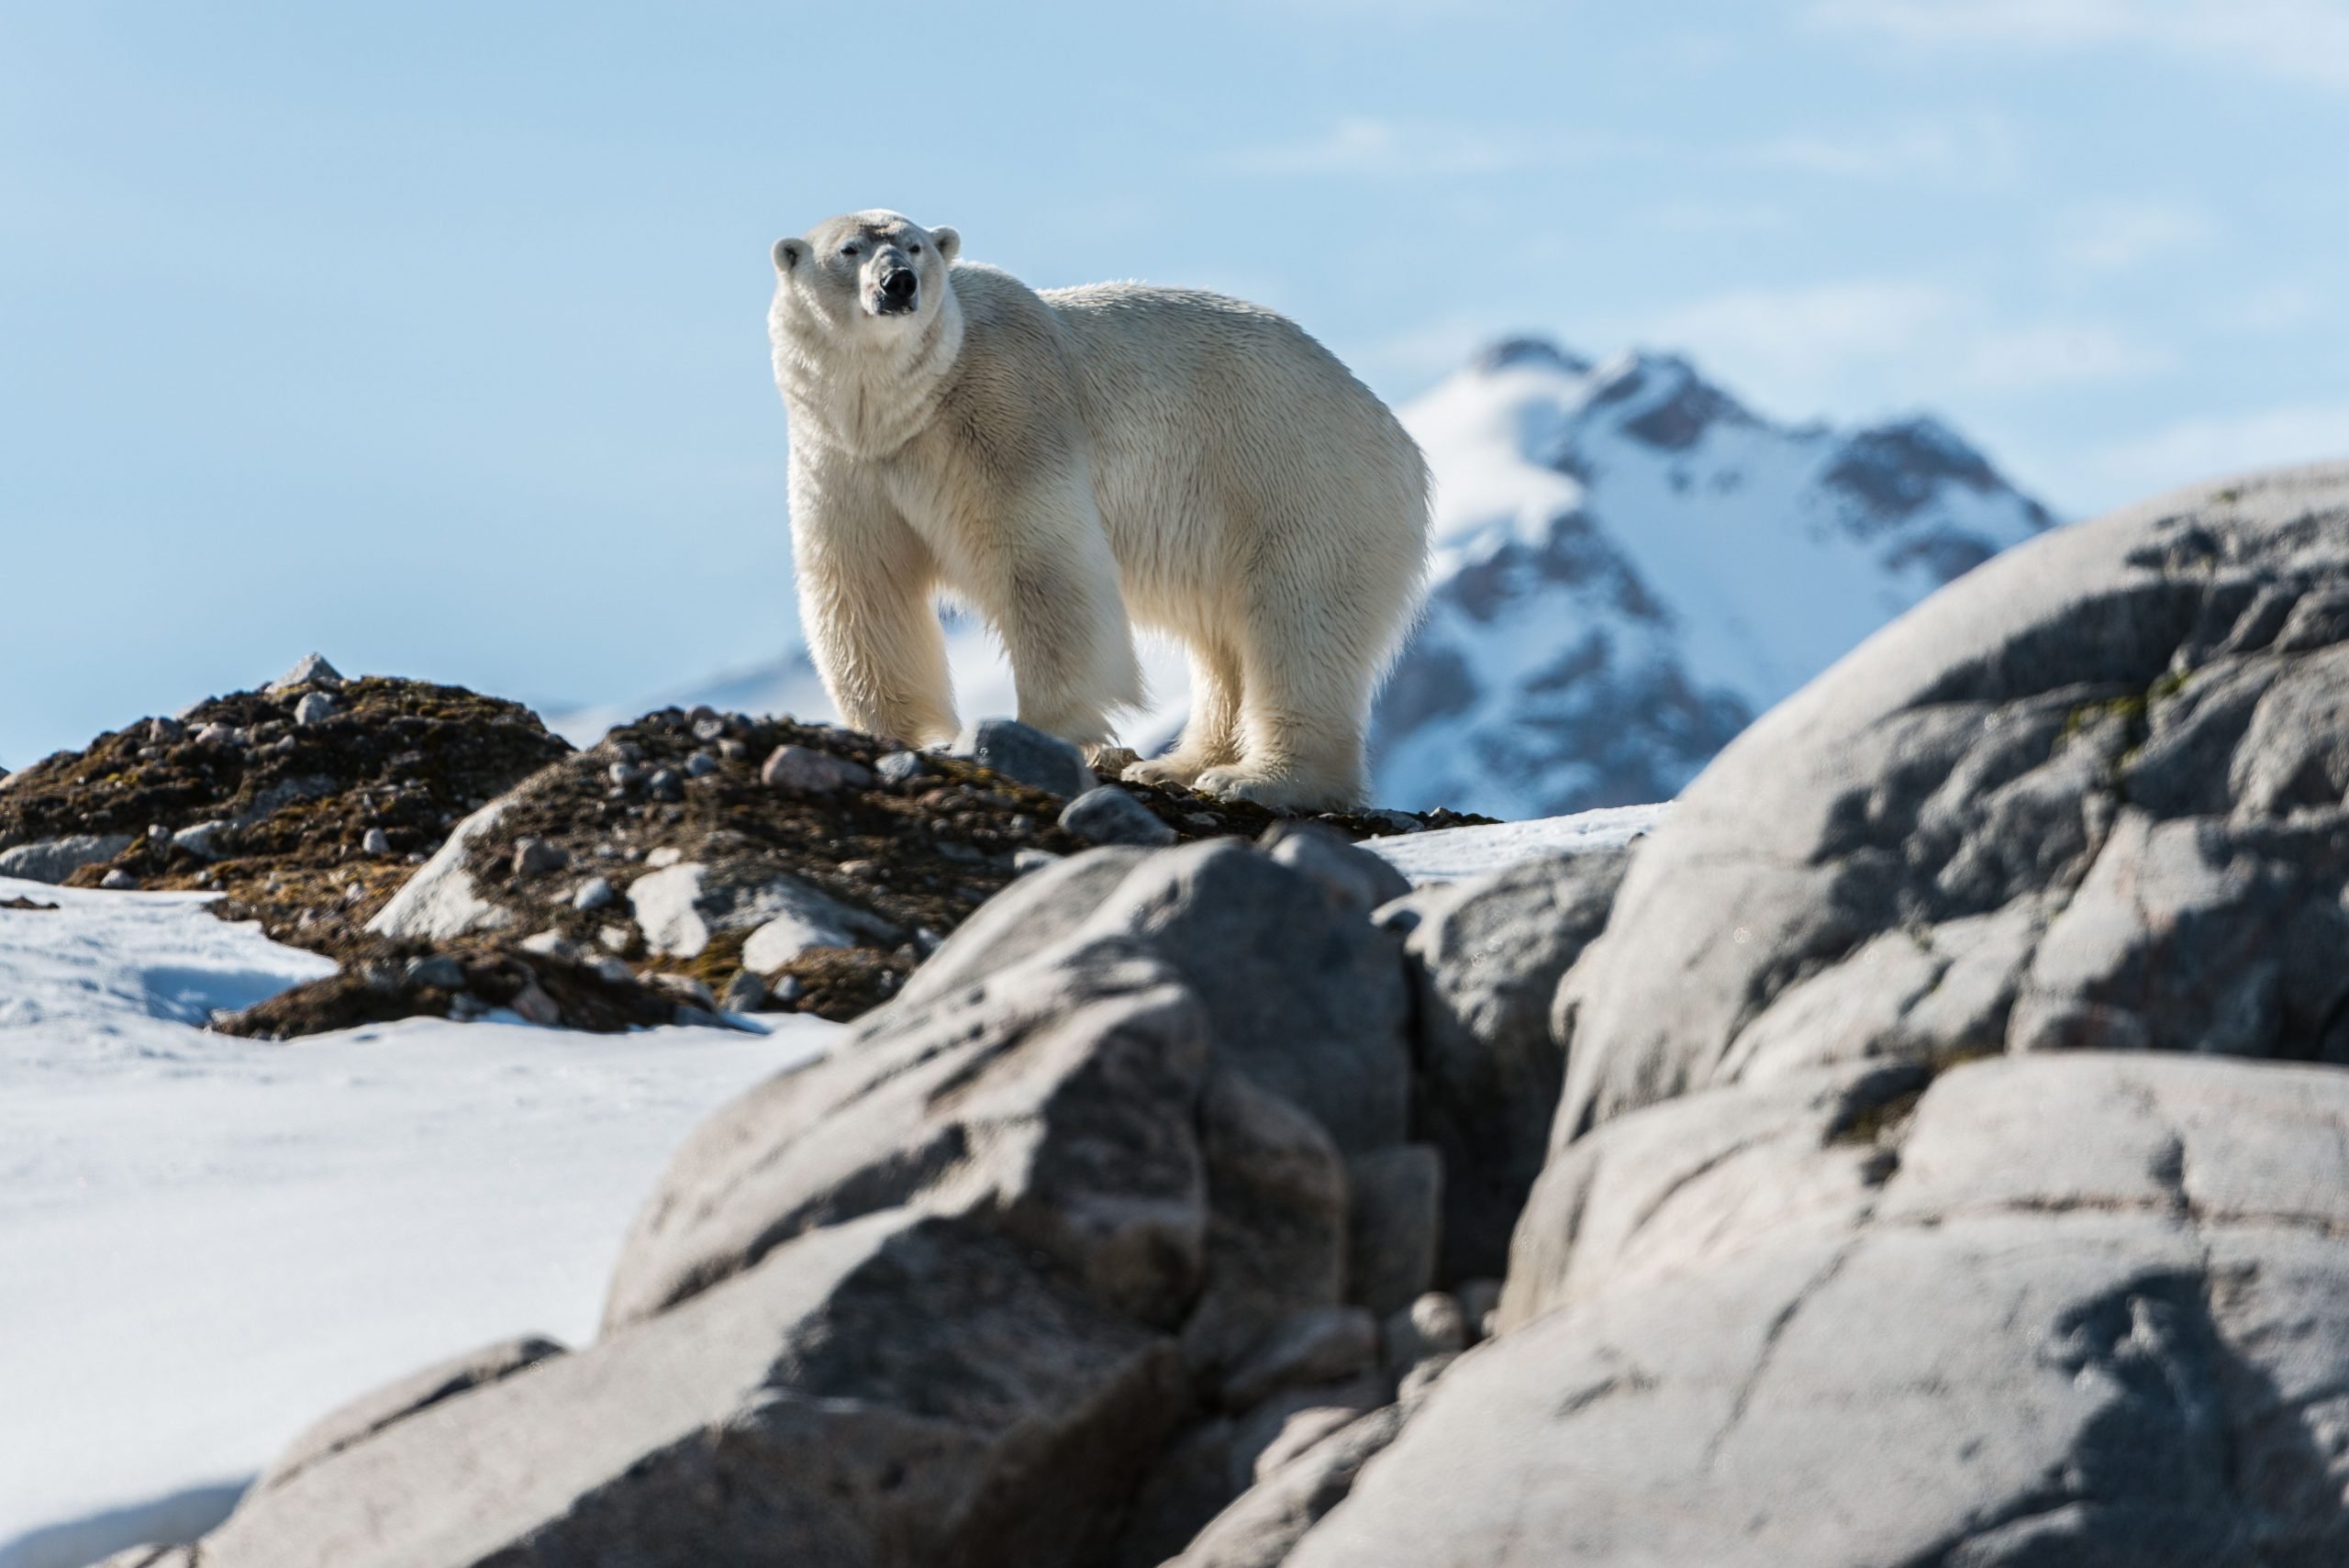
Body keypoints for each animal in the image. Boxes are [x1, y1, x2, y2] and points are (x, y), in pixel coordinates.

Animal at [770, 211, 1428, 807]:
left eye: (914, 246)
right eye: (849, 248)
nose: (898, 283)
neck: (908, 405)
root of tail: (1399, 440)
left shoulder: (1005, 412)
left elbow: (1042, 566)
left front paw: (1041, 729)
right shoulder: (842, 458)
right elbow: (863, 586)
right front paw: (901, 731)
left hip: (1302, 485)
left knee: (1299, 625)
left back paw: (1259, 778)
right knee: (1224, 645)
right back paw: (1178, 765)